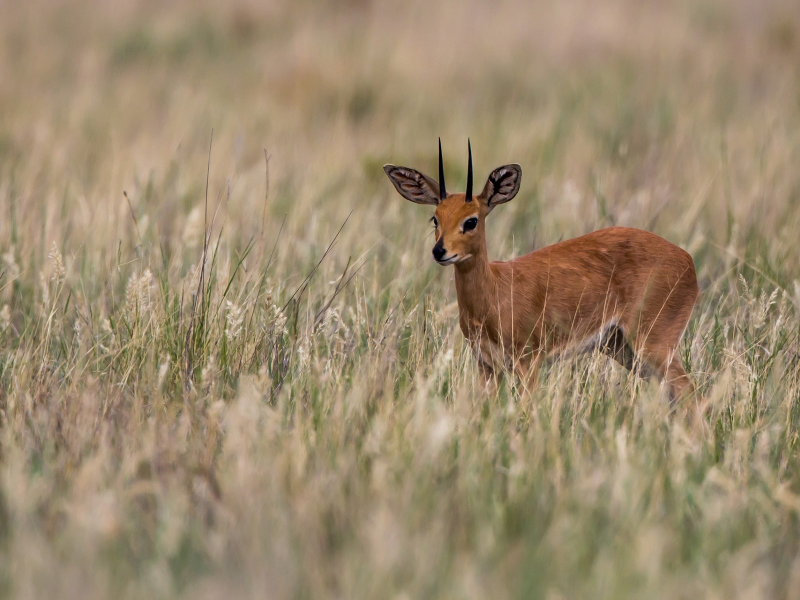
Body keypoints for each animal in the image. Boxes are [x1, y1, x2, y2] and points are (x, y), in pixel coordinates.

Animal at [384, 140, 696, 400]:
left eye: (471, 220)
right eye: (435, 218)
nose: (440, 251)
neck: (494, 293)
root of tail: (688, 260)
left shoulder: (528, 362)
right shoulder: (486, 365)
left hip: (653, 344)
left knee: (690, 392)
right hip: (623, 348)